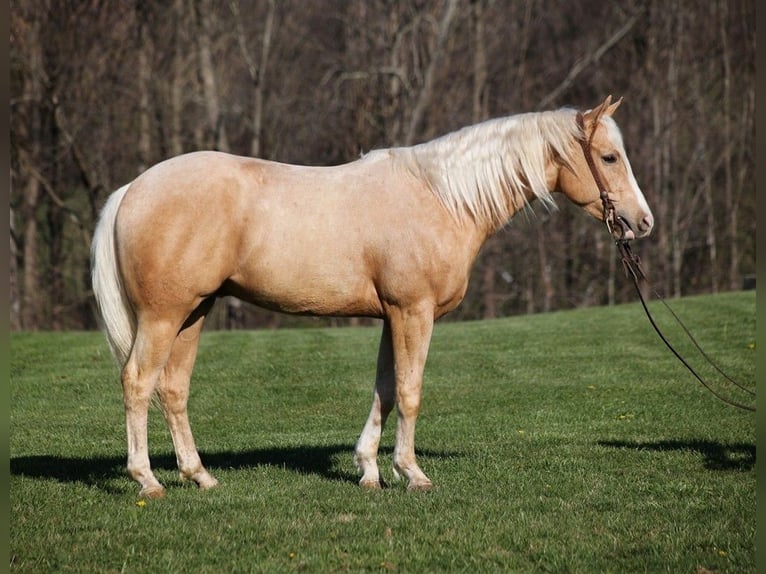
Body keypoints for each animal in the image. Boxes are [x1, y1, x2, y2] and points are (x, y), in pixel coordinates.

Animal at [90, 95, 656, 500]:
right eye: (609, 156)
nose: (643, 222)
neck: (441, 198)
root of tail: (133, 188)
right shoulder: (414, 312)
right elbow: (409, 391)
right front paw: (411, 472)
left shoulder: (393, 315)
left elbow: (384, 388)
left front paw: (368, 470)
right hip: (163, 316)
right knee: (138, 382)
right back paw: (148, 480)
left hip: (193, 313)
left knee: (173, 389)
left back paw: (198, 475)